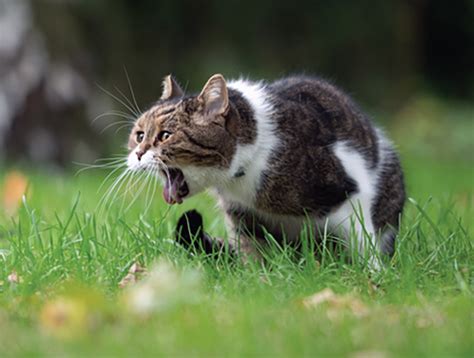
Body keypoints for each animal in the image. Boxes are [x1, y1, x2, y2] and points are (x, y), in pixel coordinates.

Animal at [127, 74, 408, 268]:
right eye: (139, 135)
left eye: (165, 135)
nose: (137, 153)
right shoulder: (242, 215)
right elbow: (254, 253)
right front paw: (258, 279)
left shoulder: (349, 189)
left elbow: (362, 240)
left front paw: (373, 275)